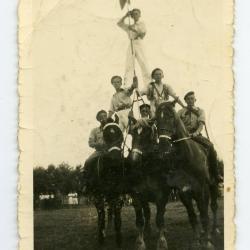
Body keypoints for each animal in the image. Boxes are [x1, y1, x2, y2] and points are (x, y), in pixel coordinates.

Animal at [127, 118, 172, 250]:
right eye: (132, 133)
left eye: (147, 134)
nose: (133, 161)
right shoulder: (136, 196)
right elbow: (140, 220)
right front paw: (140, 242)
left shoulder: (162, 196)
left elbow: (160, 219)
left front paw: (162, 242)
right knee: (147, 213)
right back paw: (147, 230)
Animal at [156, 101, 221, 248]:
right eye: (156, 120)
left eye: (170, 116)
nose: (163, 148)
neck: (187, 158)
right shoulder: (183, 191)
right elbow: (192, 216)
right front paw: (197, 240)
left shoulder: (201, 189)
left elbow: (204, 215)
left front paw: (208, 242)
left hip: (213, 186)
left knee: (213, 207)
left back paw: (214, 229)